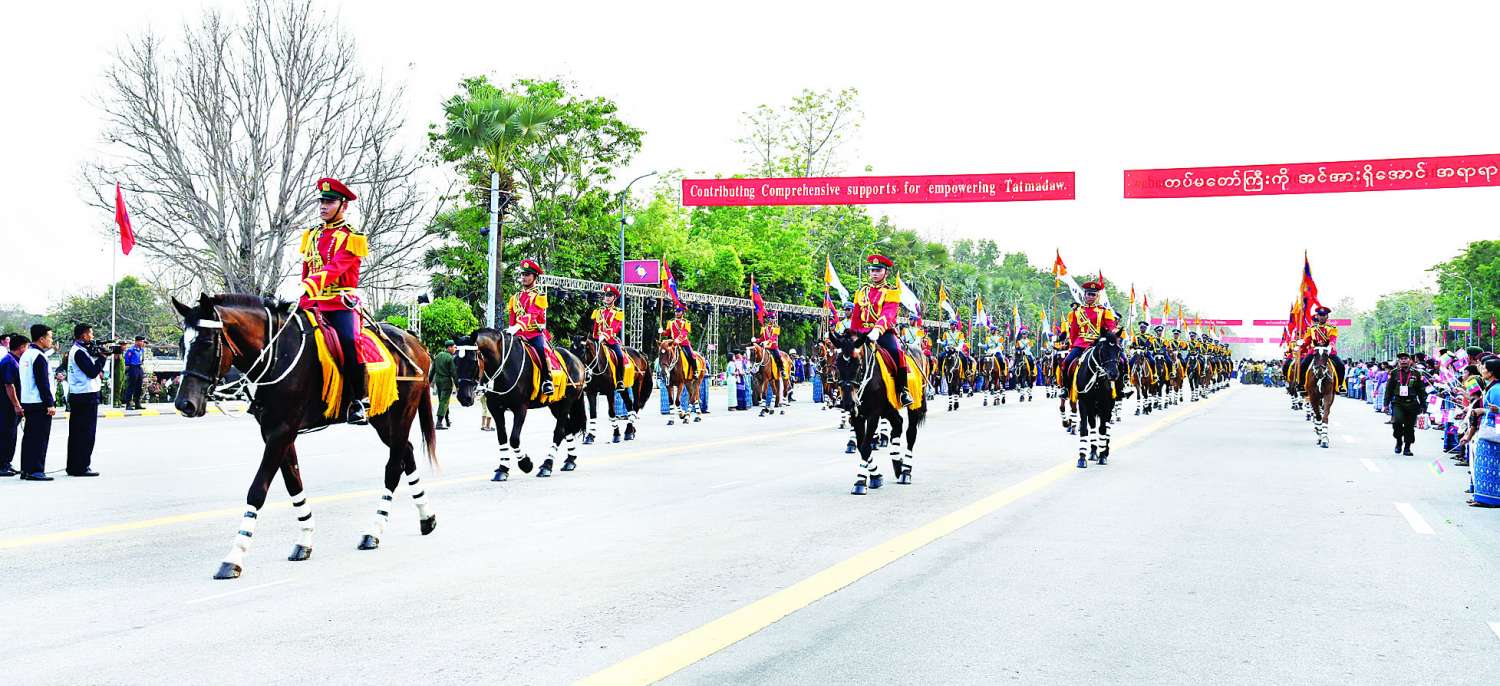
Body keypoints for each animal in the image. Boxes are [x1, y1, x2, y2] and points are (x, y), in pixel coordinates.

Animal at [171, 294, 438, 581]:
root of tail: (415, 343)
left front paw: (234, 556)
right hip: (382, 419)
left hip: (401, 415)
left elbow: (257, 490)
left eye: (207, 343)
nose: (184, 404)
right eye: (182, 345)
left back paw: (374, 531)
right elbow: (293, 483)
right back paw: (426, 518)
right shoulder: (275, 433)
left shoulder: (282, 431)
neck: (275, 353)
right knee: (406, 452)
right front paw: (305, 540)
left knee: (393, 467)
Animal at [453, 329, 588, 481]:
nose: (464, 397)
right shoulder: (495, 409)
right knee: (567, 428)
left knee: (559, 431)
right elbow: (502, 437)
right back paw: (570, 460)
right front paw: (502, 468)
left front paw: (525, 464)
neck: (503, 366)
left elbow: (514, 439)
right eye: (455, 360)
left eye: (473, 361)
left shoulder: (520, 408)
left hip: (566, 403)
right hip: (554, 405)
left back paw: (547, 465)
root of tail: (577, 360)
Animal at [828, 330, 927, 495]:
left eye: (858, 364)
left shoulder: (873, 415)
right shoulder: (857, 416)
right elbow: (862, 447)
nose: (848, 403)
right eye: (838, 364)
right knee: (898, 425)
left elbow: (865, 446)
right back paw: (897, 464)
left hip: (914, 404)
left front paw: (860, 481)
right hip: (888, 408)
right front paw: (875, 476)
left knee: (910, 433)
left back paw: (906, 471)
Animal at [1065, 330, 1124, 467]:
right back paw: (1093, 451)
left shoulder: (1105, 403)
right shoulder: (1083, 402)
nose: (1113, 374)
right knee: (1092, 424)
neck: (1096, 379)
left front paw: (1102, 456)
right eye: (1102, 350)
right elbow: (1084, 428)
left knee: (1106, 425)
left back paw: (1105, 450)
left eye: (1118, 350)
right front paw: (1082, 458)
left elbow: (1103, 428)